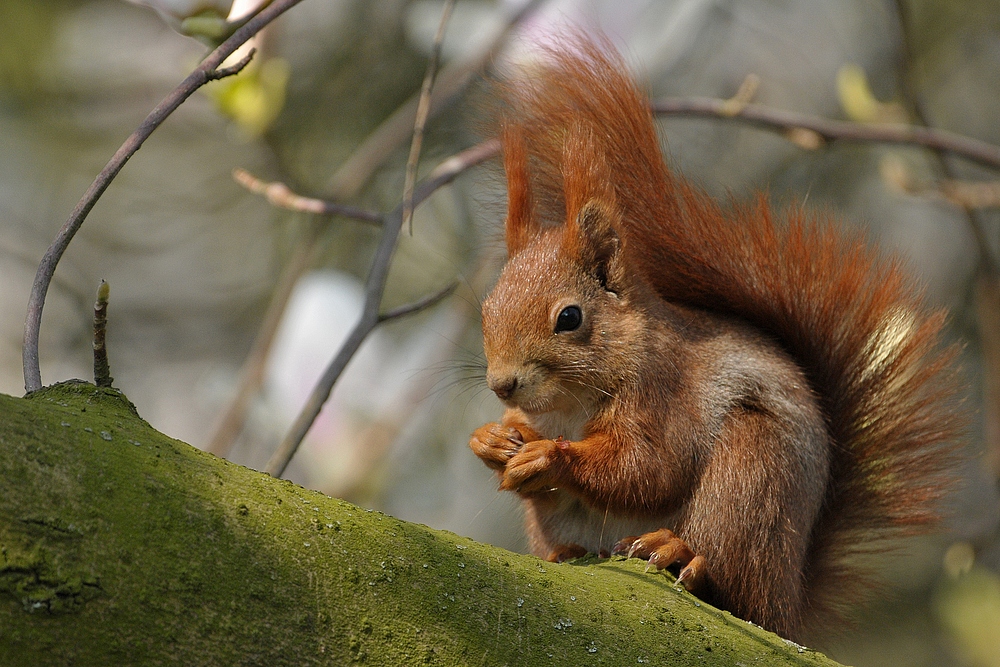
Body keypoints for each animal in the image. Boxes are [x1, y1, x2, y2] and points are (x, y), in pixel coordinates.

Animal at [470, 36, 968, 640]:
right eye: (487, 307)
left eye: (569, 318)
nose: (503, 384)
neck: (570, 404)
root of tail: (785, 604)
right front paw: (493, 439)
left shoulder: (665, 393)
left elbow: (649, 468)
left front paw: (550, 455)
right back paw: (565, 554)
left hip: (752, 475)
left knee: (728, 576)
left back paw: (682, 553)